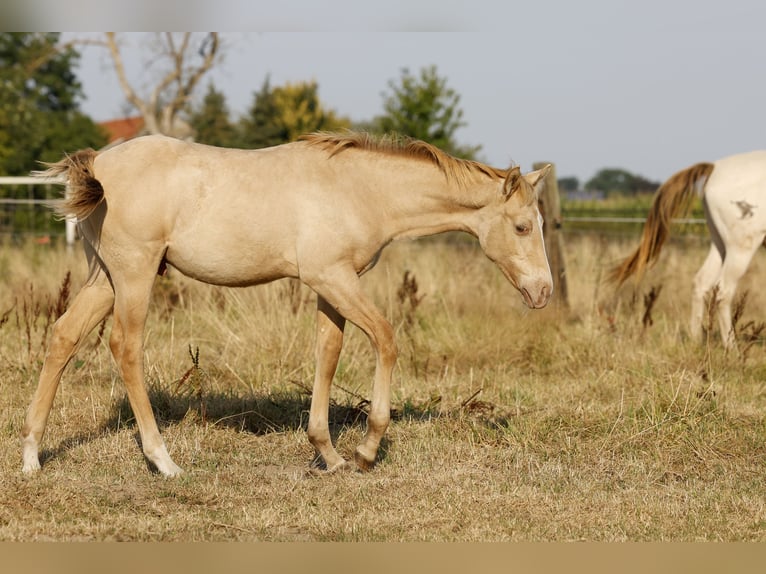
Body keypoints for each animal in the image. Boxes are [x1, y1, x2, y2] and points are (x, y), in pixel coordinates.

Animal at [21, 132, 553, 477]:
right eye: (523, 226)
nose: (543, 292)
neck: (360, 189)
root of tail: (98, 163)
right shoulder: (333, 278)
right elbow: (385, 338)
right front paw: (366, 450)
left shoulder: (331, 284)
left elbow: (328, 353)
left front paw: (329, 455)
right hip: (134, 274)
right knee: (126, 348)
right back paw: (164, 461)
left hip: (106, 278)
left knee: (64, 336)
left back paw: (31, 457)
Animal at [610, 151, 766, 348]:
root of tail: (715, 167)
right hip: (740, 248)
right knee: (723, 292)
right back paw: (732, 349)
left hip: (720, 245)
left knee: (701, 282)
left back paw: (696, 341)